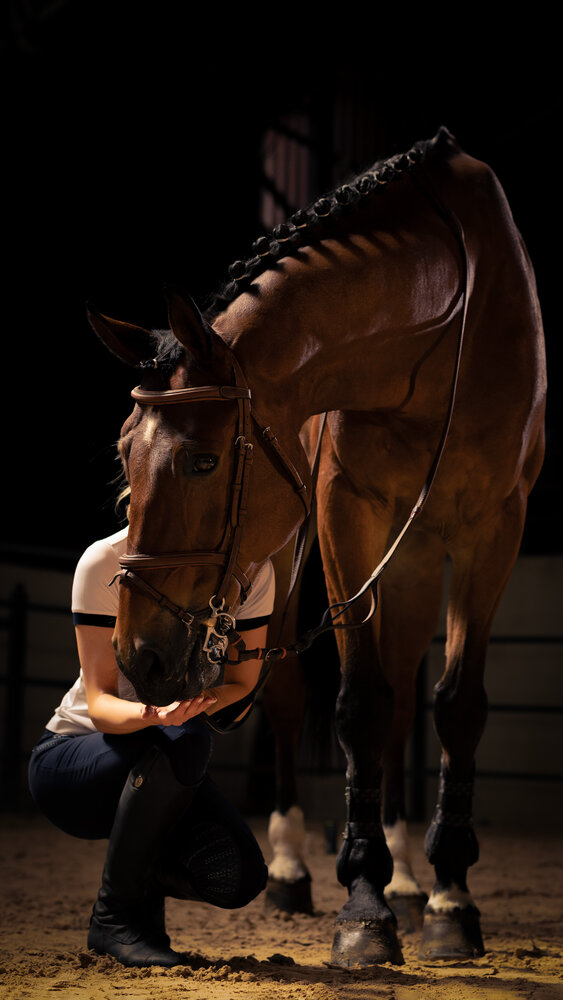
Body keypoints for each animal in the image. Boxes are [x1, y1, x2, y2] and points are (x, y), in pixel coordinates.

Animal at [88, 127, 546, 967]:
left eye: (203, 461)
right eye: (124, 453)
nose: (139, 657)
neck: (441, 324)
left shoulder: (493, 526)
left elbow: (452, 706)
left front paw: (448, 896)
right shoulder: (343, 511)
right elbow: (359, 700)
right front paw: (362, 904)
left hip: (411, 555)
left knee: (404, 700)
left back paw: (412, 879)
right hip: (290, 557)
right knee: (296, 692)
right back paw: (292, 869)